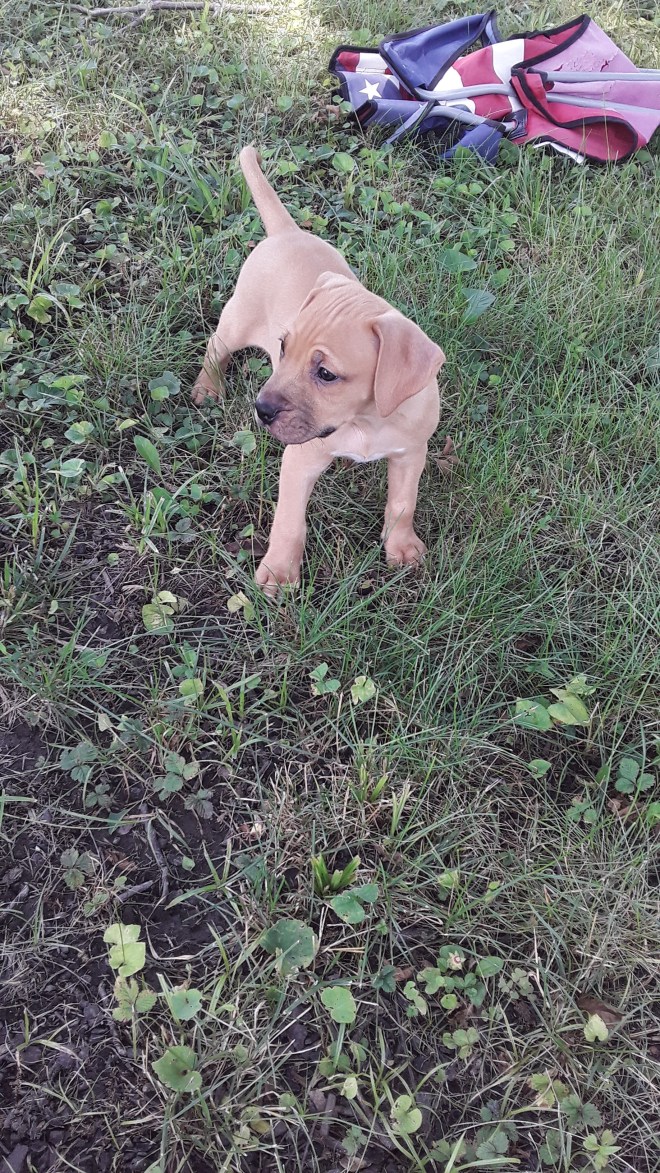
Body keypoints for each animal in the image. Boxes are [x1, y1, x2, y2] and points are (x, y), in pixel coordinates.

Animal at [193, 147, 445, 592]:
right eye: (283, 348)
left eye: (326, 374)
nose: (261, 410)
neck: (365, 421)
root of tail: (285, 232)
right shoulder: (300, 462)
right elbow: (289, 521)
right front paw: (279, 573)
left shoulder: (411, 454)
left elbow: (403, 503)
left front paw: (402, 548)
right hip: (237, 321)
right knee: (214, 348)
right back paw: (208, 387)